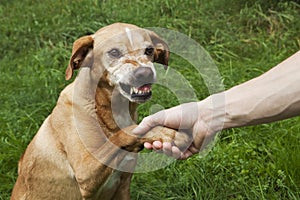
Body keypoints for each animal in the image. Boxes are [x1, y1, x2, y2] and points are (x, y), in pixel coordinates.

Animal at [11, 22, 190, 199]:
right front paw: (162, 132)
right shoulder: (86, 173)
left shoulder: (123, 186)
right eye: (114, 52)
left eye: (149, 50)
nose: (145, 73)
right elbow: (122, 134)